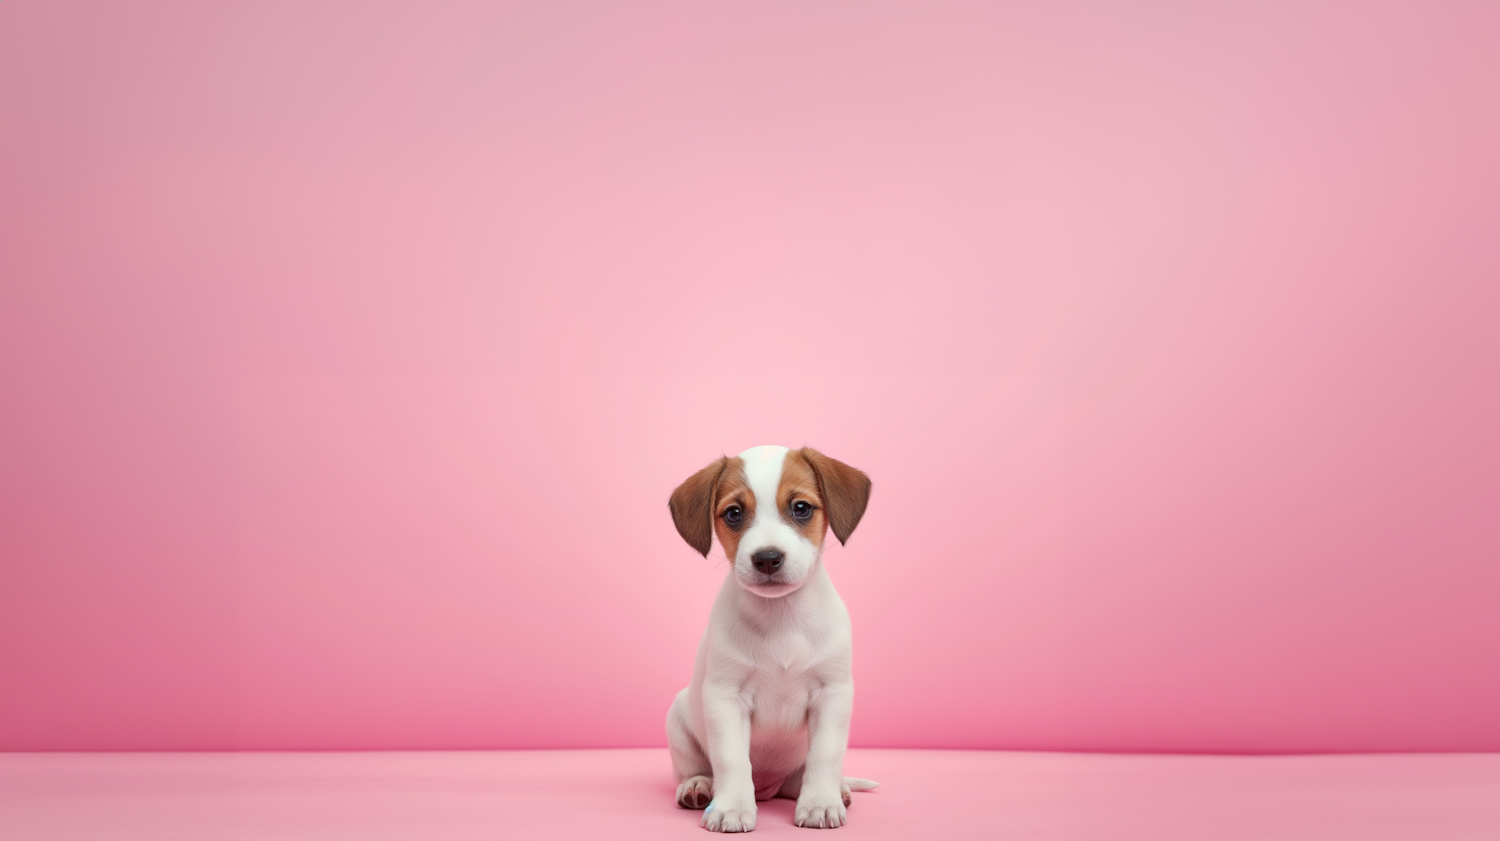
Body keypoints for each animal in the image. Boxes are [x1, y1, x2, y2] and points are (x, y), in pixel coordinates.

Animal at [666, 443, 876, 827]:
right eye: (733, 513)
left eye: (801, 508)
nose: (767, 558)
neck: (781, 617)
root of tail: (768, 790)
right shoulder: (725, 697)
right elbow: (731, 758)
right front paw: (732, 807)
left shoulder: (832, 695)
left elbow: (825, 755)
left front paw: (820, 802)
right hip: (678, 718)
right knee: (696, 767)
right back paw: (698, 786)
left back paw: (833, 789)